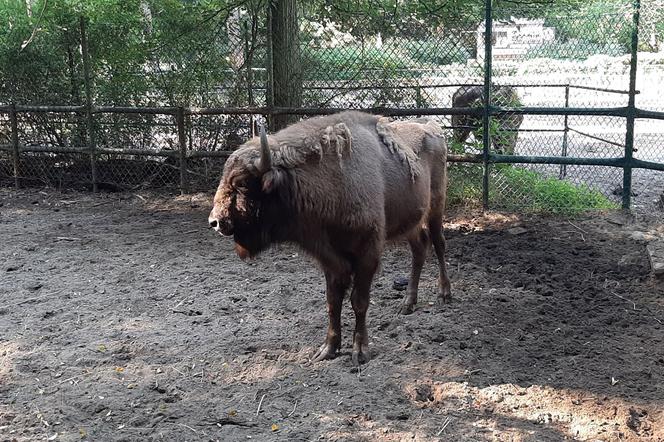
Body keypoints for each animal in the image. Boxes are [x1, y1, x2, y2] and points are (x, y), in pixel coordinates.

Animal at [211, 111, 452, 366]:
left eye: (242, 184)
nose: (215, 221)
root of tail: (432, 127)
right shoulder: (330, 259)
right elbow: (333, 302)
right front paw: (328, 349)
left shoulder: (367, 254)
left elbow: (359, 301)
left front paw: (360, 351)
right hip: (411, 221)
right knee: (419, 248)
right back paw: (407, 303)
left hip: (436, 206)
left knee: (438, 244)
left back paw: (444, 293)